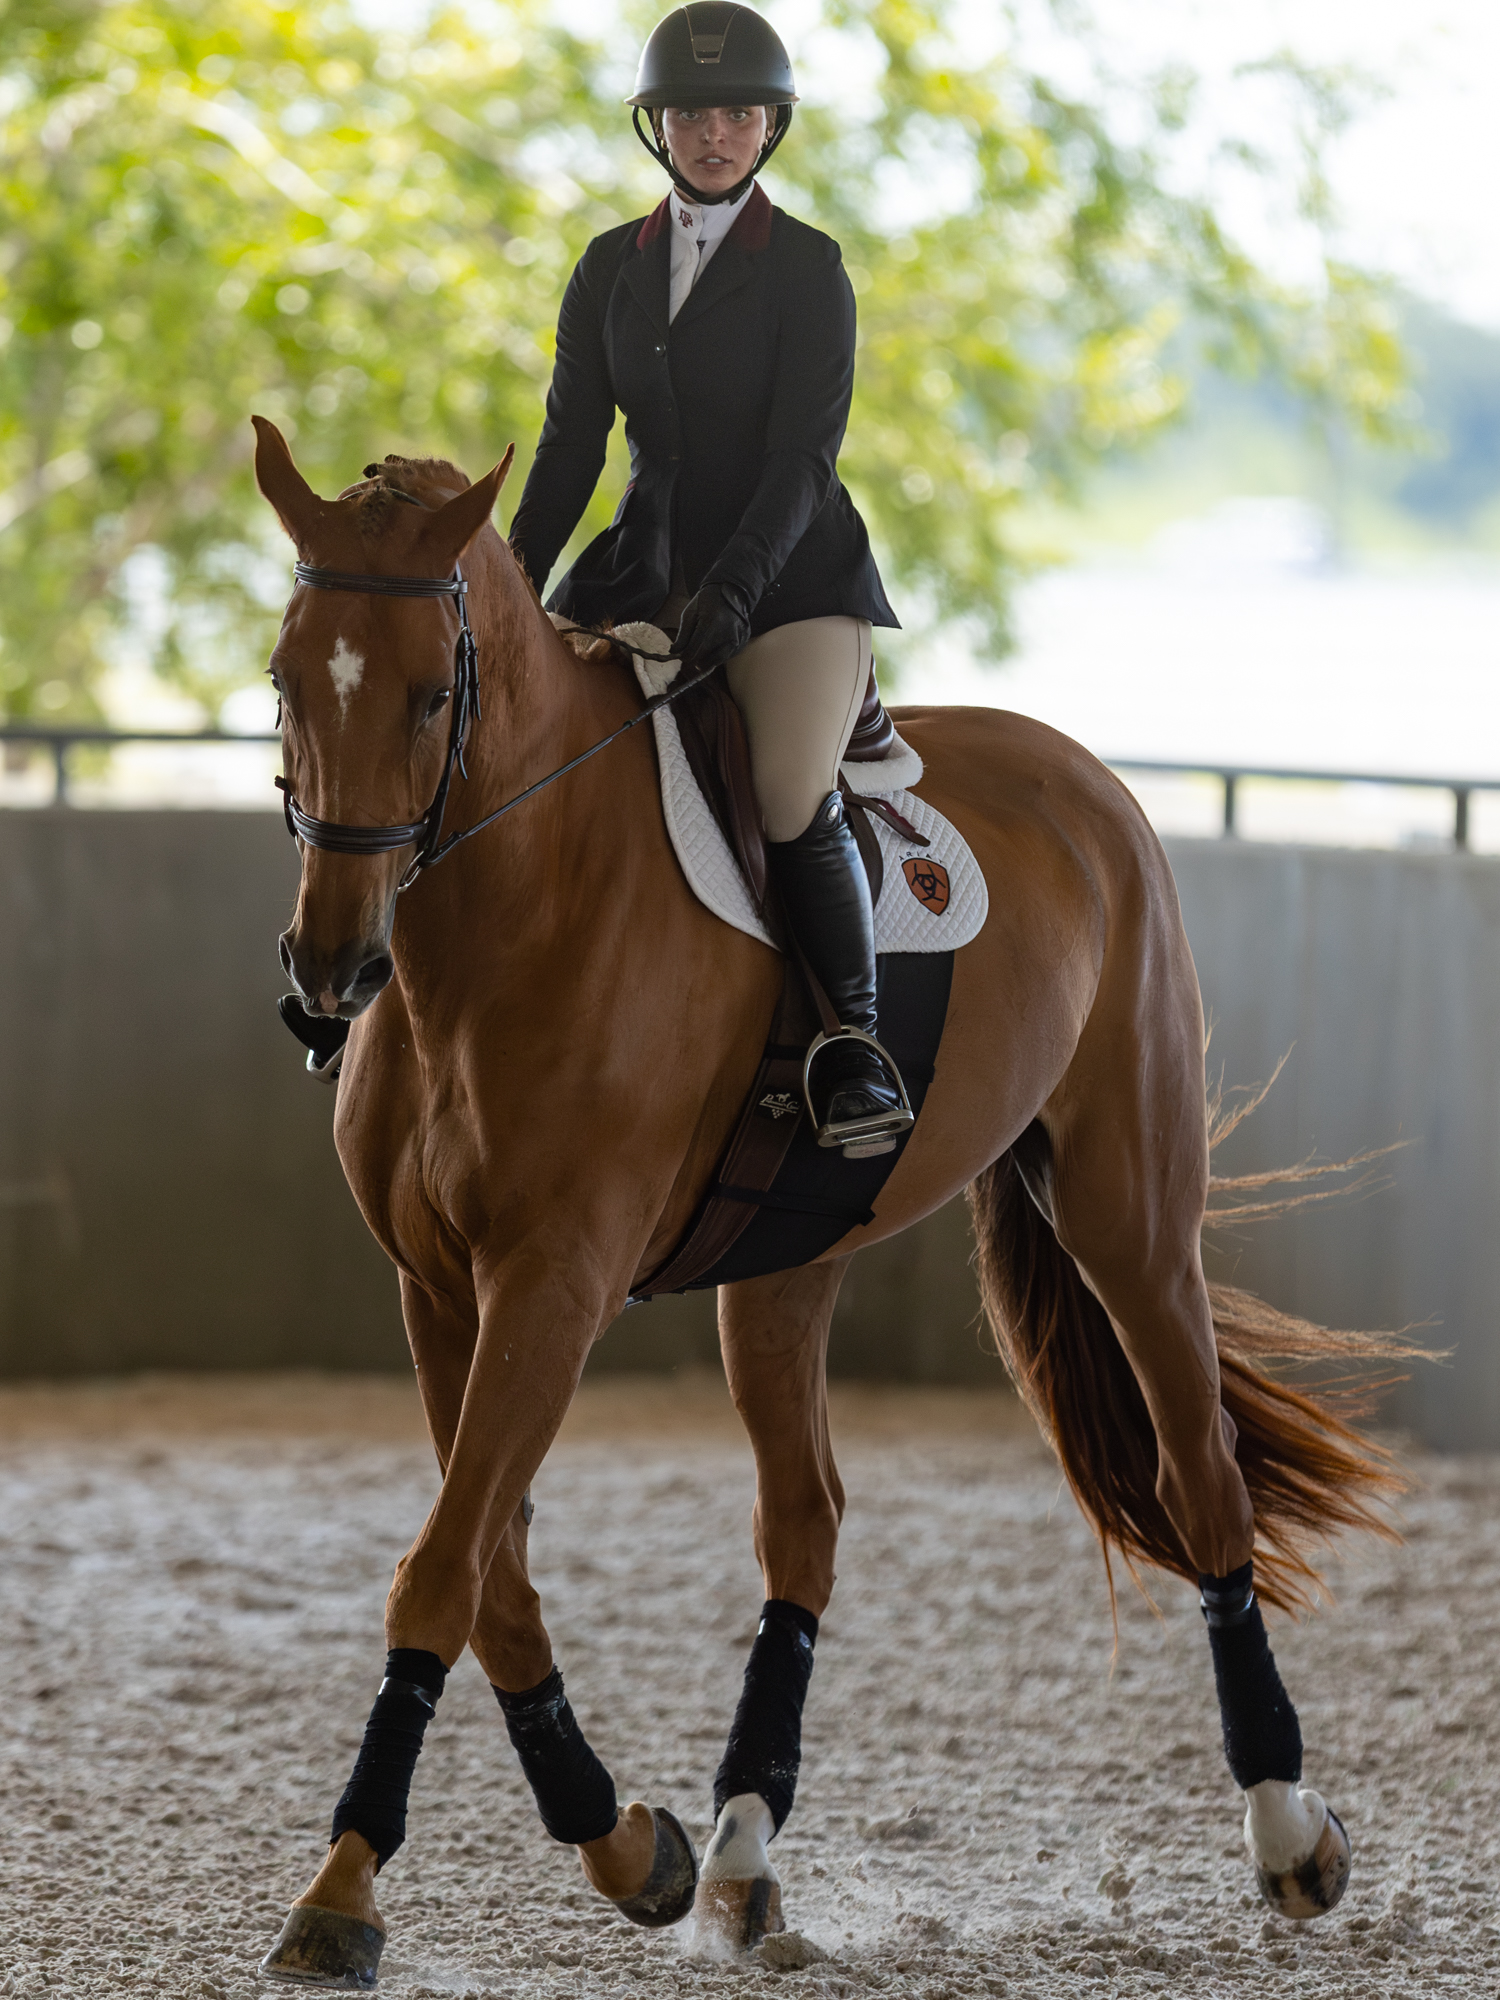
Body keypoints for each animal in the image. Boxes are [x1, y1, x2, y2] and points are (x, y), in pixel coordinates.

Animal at [250, 422, 1400, 1984]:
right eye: (284, 677)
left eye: (435, 693)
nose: (329, 972)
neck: (508, 921)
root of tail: (1084, 780)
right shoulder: (438, 1290)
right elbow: (491, 1578)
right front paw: (636, 1850)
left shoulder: (552, 1281)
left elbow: (442, 1571)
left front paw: (343, 1889)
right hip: (782, 1263)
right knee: (806, 1518)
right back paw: (739, 1853)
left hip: (1129, 1207)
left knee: (1201, 1472)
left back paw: (1289, 1836)